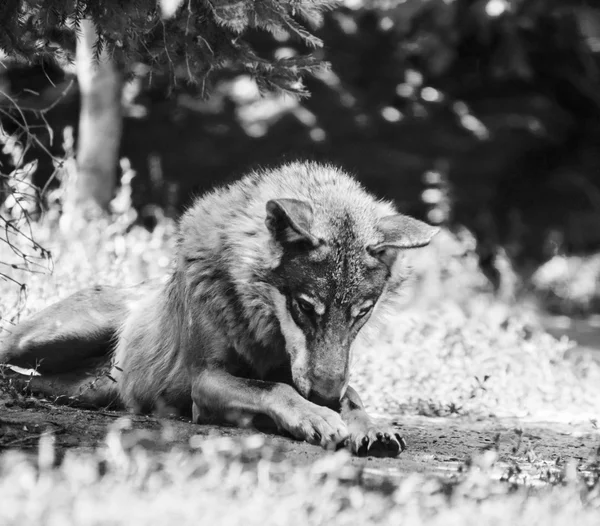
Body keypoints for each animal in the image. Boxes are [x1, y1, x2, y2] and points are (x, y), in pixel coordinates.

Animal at [0, 161, 436, 458]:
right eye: (304, 306)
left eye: (361, 313)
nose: (324, 397)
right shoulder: (205, 383)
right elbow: (273, 388)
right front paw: (316, 417)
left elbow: (354, 396)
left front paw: (370, 426)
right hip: (47, 339)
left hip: (86, 387)